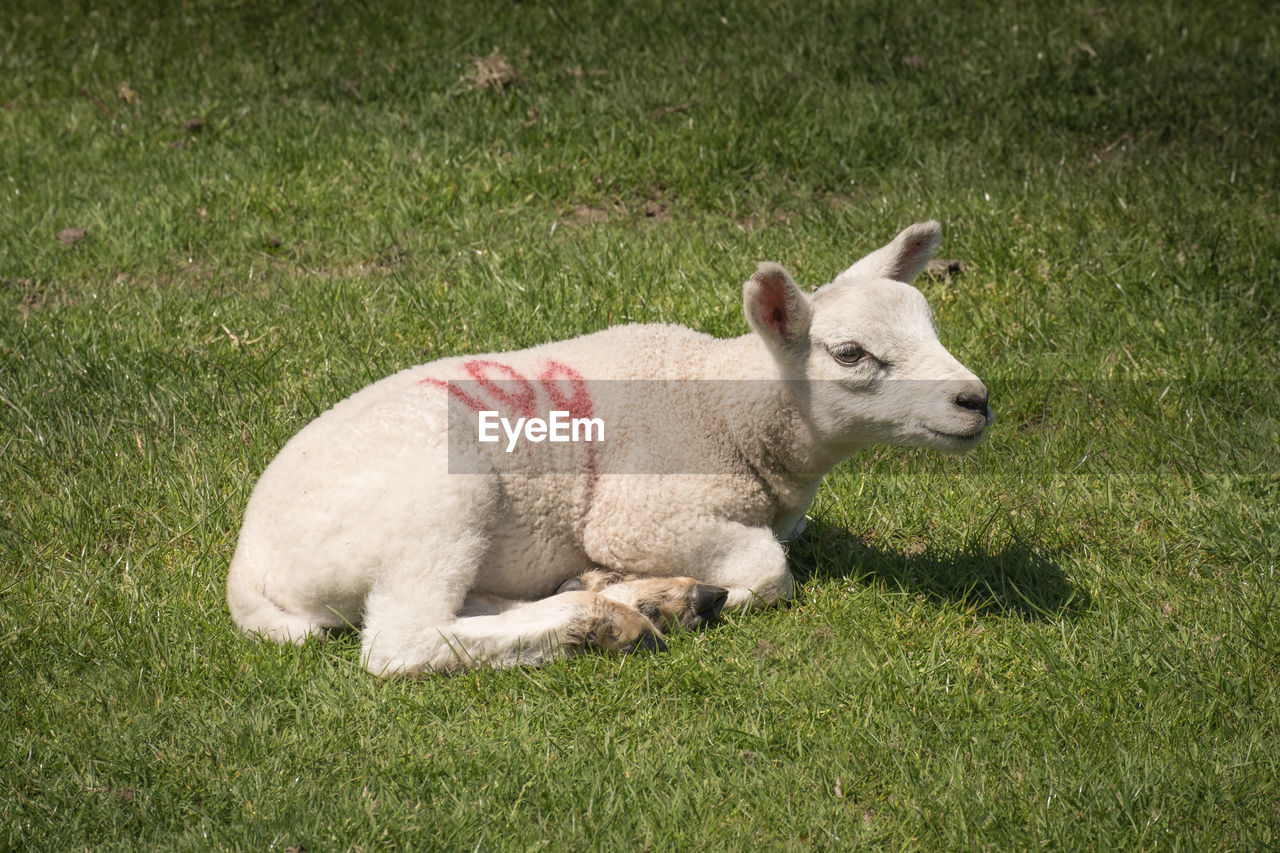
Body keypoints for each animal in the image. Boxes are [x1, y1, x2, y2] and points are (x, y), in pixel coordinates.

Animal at [227, 222, 988, 676]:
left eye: (931, 326)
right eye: (851, 353)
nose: (976, 400)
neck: (726, 409)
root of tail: (250, 568)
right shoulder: (643, 513)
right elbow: (772, 571)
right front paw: (715, 593)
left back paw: (632, 599)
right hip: (438, 502)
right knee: (402, 642)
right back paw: (609, 619)